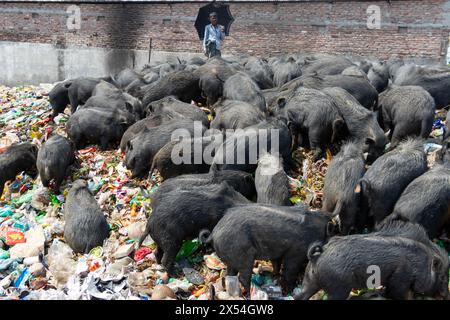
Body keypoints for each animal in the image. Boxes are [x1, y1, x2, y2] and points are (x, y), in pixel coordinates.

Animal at [200, 205, 334, 296]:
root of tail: (214, 233)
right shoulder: (295, 253)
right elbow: (289, 271)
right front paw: (289, 291)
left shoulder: (278, 253)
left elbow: (277, 264)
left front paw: (274, 277)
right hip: (244, 256)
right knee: (243, 277)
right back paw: (250, 293)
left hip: (232, 258)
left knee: (230, 275)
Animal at [298, 218, 448, 300]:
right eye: (442, 277)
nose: (446, 295)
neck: (419, 264)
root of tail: (317, 257)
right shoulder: (399, 281)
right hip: (338, 288)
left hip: (309, 280)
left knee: (300, 296)